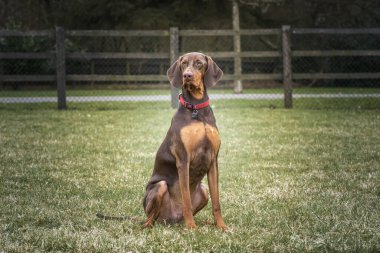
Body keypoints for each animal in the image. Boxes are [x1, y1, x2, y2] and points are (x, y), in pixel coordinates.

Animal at [142, 51, 226, 229]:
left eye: (199, 63)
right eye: (183, 63)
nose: (187, 75)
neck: (196, 108)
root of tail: (170, 220)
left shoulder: (213, 159)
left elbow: (216, 201)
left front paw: (222, 226)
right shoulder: (183, 159)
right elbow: (186, 199)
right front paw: (192, 228)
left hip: (203, 190)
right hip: (159, 187)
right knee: (150, 218)